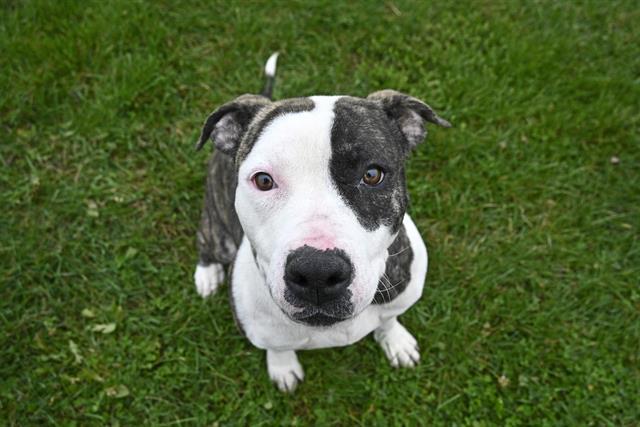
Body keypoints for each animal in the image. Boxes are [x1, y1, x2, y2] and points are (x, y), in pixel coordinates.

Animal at [192, 52, 448, 392]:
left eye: (372, 174)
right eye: (263, 180)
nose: (317, 271)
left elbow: (389, 318)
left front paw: (395, 340)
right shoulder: (262, 330)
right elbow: (277, 346)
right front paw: (283, 367)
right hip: (217, 228)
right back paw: (207, 274)